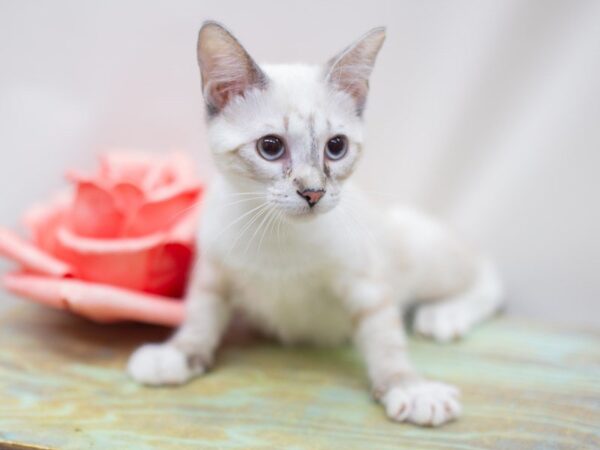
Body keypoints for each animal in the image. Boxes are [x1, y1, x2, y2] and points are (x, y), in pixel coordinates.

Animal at [129, 21, 504, 428]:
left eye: (336, 147)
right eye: (271, 147)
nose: (313, 193)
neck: (278, 235)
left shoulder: (365, 284)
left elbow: (386, 341)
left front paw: (409, 387)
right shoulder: (214, 270)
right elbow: (200, 316)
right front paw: (178, 355)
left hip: (422, 253)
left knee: (487, 274)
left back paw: (445, 315)